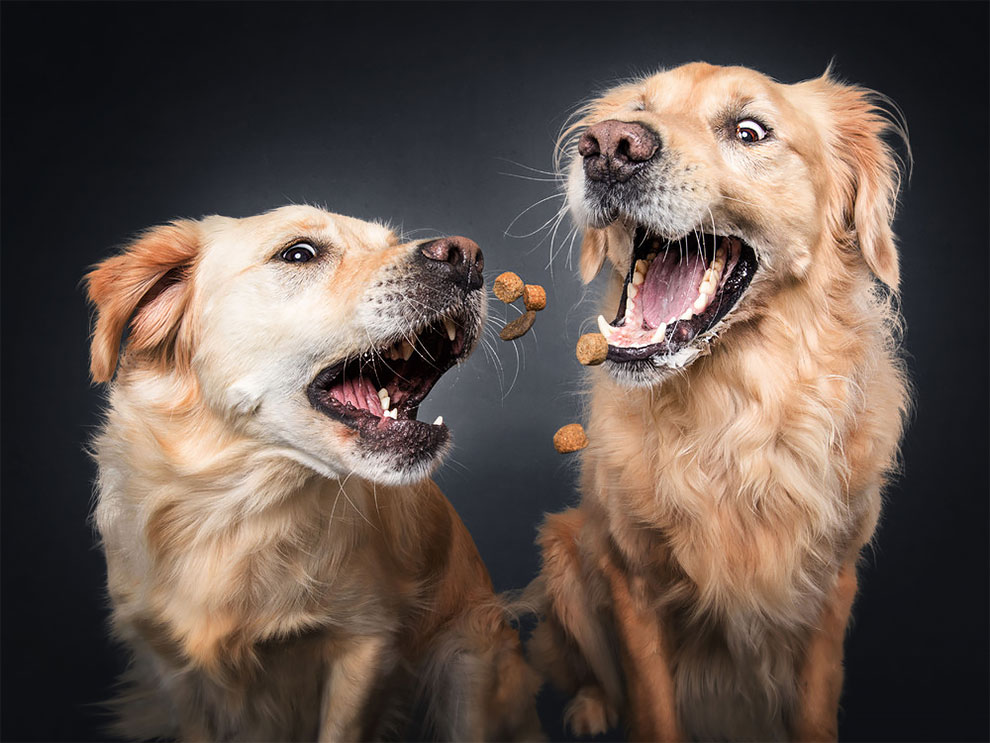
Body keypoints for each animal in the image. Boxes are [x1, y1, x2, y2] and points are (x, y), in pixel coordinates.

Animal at [87, 205, 544, 743]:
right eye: (298, 253)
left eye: (388, 241)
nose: (466, 256)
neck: (233, 511)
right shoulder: (172, 666)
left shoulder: (363, 644)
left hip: (469, 674)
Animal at [532, 65, 912, 743]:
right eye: (637, 109)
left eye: (749, 131)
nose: (608, 146)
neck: (733, 416)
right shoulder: (633, 581)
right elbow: (652, 707)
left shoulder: (831, 584)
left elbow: (815, 706)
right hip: (566, 550)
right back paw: (591, 707)